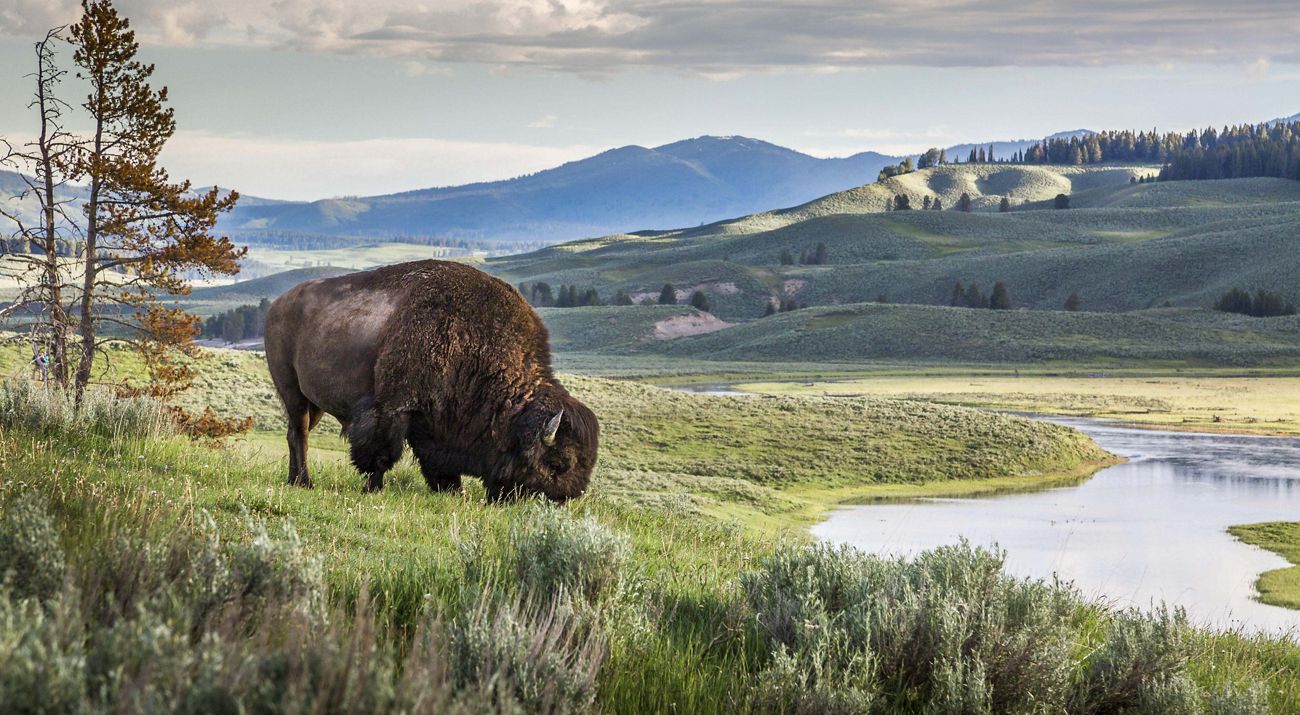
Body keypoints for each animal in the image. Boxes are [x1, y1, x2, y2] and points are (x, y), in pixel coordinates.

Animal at [264, 260, 598, 502]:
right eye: (558, 463)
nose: (564, 500)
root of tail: (277, 305)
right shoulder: (393, 409)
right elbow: (381, 454)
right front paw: (373, 488)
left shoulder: (434, 424)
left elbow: (436, 463)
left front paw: (455, 491)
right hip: (292, 392)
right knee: (300, 434)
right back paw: (304, 482)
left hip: (315, 402)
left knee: (295, 434)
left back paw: (295, 480)